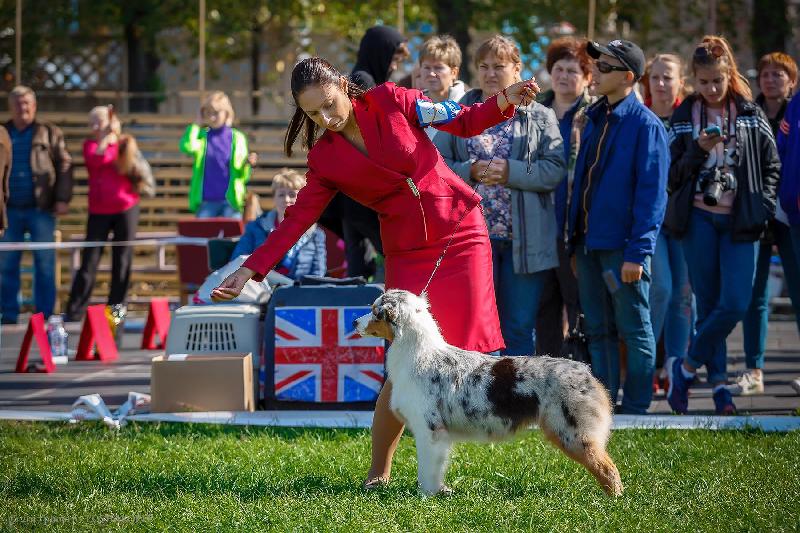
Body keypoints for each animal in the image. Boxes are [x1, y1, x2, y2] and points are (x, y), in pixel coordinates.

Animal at [355, 289, 623, 497]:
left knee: (607, 467)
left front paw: (426, 496)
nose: (355, 322)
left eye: (375, 311)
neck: (418, 354)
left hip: (572, 432)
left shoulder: (429, 429)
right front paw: (439, 492)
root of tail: (586, 371)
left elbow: (427, 469)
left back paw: (614, 501)